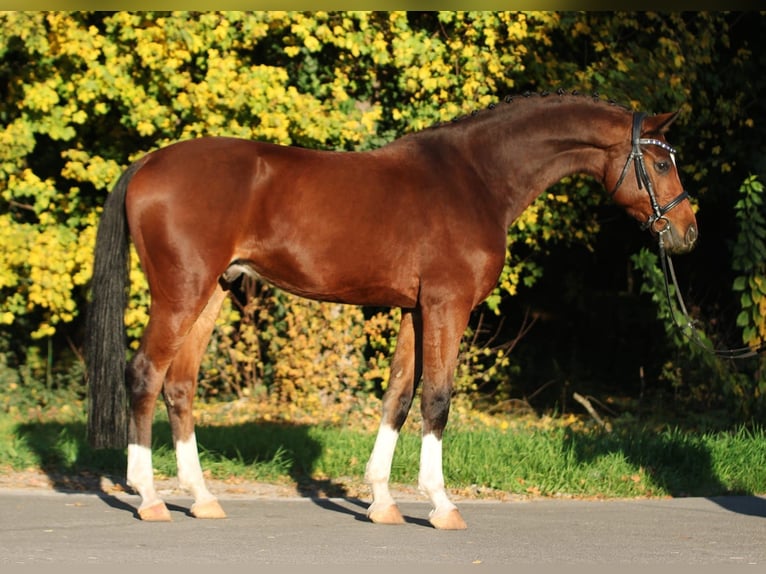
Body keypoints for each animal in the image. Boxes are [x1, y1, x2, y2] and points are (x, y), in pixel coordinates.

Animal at [87, 93, 700, 532]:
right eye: (659, 163)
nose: (687, 231)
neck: (476, 178)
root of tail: (148, 163)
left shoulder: (416, 309)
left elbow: (399, 397)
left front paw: (381, 501)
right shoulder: (447, 305)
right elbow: (437, 399)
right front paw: (441, 504)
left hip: (211, 293)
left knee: (180, 385)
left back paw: (202, 497)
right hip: (180, 293)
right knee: (145, 374)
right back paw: (148, 497)